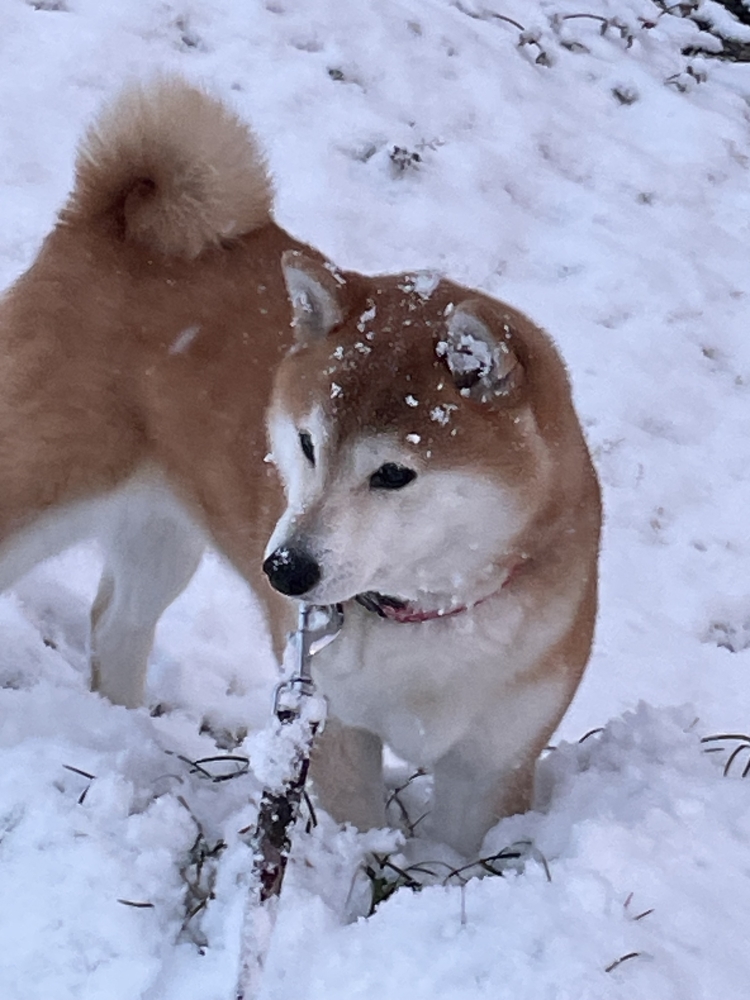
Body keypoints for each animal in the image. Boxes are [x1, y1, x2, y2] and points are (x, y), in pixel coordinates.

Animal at [0, 78, 604, 856]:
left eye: (394, 473)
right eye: (308, 443)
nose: (285, 571)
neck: (426, 613)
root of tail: (111, 221)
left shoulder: (492, 765)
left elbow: (458, 854)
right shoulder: (336, 726)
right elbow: (358, 827)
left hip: (162, 532)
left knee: (116, 624)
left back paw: (127, 733)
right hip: (44, 477)